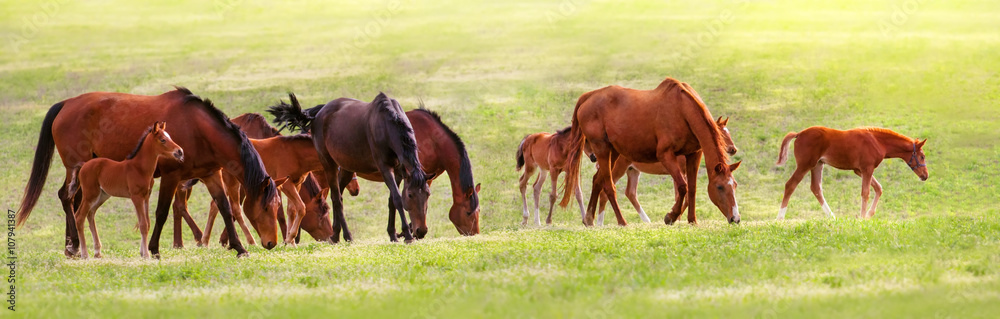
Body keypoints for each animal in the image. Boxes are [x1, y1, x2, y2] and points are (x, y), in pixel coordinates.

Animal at [67, 122, 185, 260]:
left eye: (169, 137)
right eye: (163, 140)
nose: (180, 152)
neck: (140, 168)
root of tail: (83, 165)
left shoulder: (146, 197)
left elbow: (147, 223)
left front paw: (142, 252)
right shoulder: (136, 197)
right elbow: (143, 224)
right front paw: (146, 255)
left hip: (102, 195)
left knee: (90, 214)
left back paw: (97, 252)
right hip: (90, 194)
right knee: (80, 216)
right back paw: (85, 254)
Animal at [592, 117, 744, 225]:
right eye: (722, 134)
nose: (733, 149)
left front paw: (677, 217)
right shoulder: (680, 172)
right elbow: (683, 194)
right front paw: (675, 217)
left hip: (633, 171)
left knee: (630, 193)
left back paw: (646, 221)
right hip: (618, 169)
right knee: (605, 191)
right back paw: (600, 223)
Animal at [772, 127, 928, 220]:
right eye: (922, 157)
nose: (925, 176)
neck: (877, 141)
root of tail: (798, 134)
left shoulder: (859, 170)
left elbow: (878, 188)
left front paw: (868, 214)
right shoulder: (867, 168)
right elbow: (866, 192)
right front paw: (862, 218)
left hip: (818, 165)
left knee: (816, 188)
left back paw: (832, 217)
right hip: (805, 165)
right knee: (790, 185)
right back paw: (780, 218)